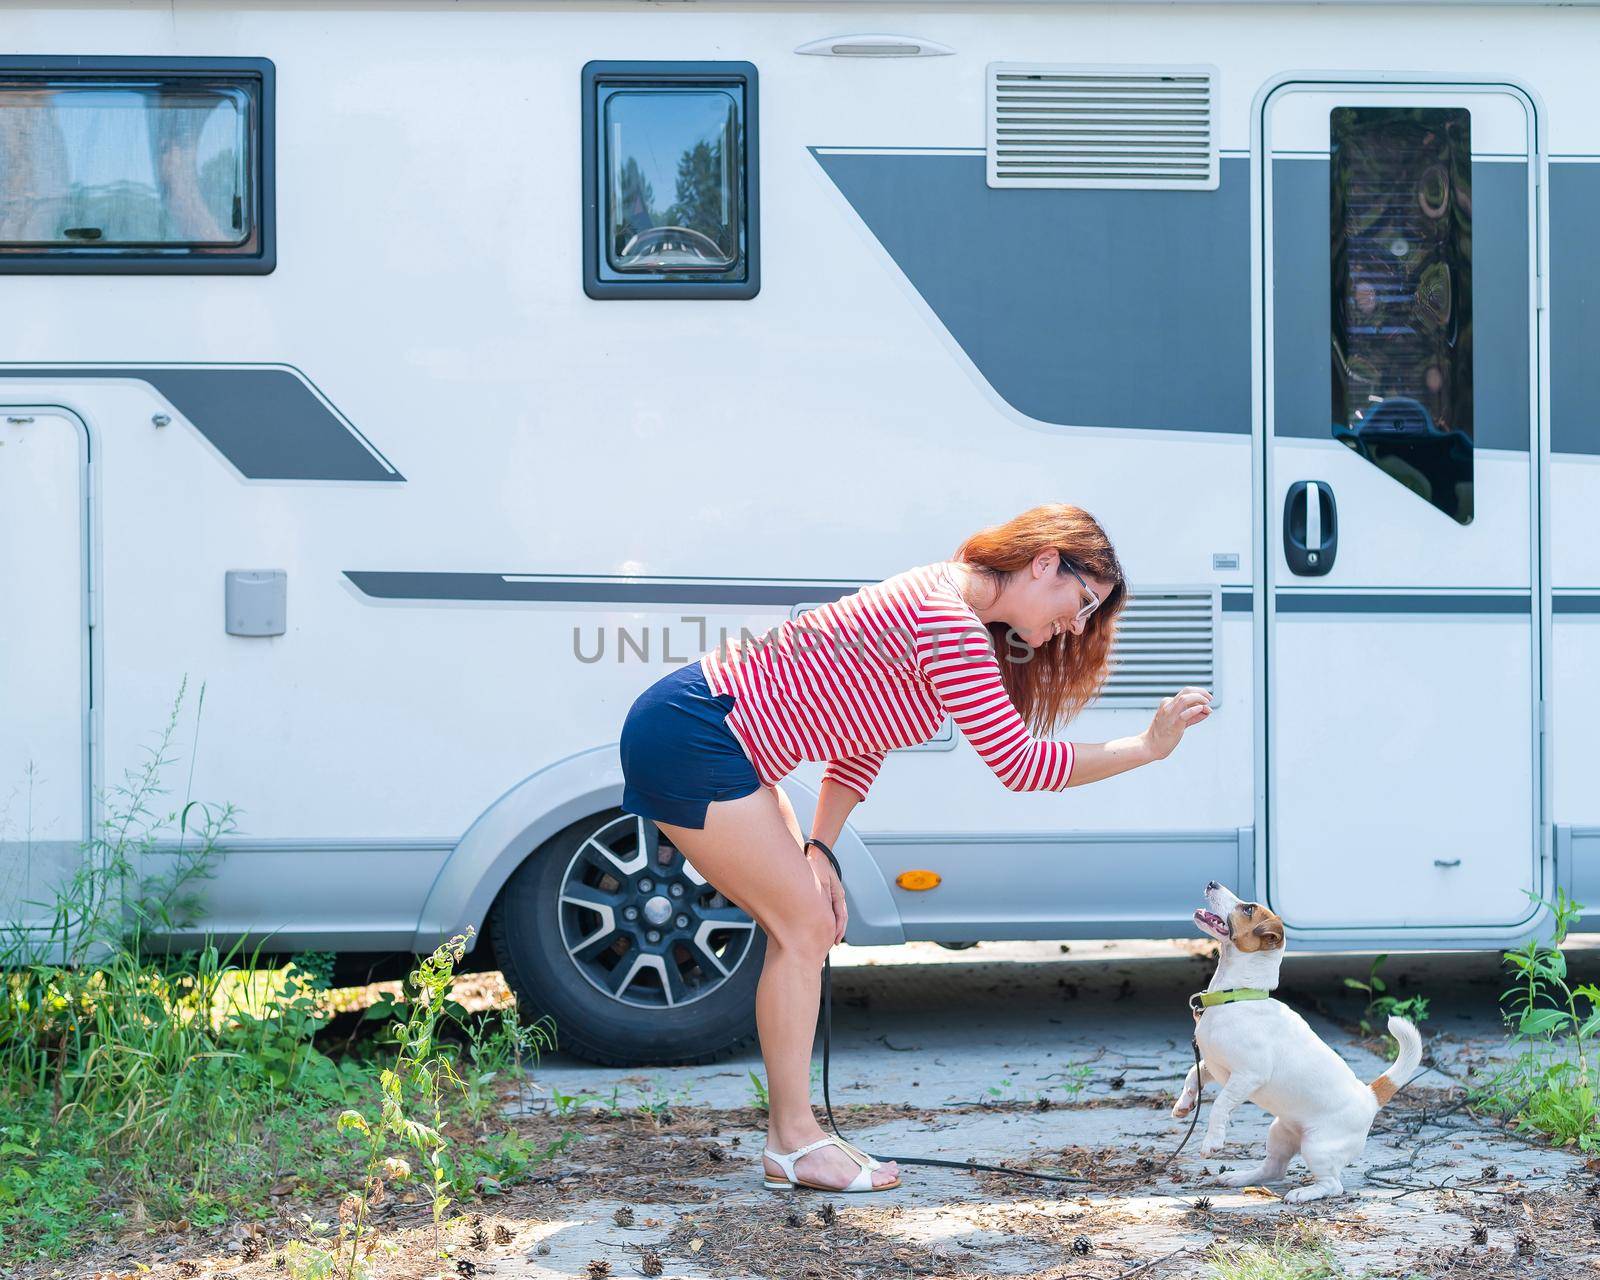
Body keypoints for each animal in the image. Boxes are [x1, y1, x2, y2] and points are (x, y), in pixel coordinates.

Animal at [1171, 883, 1420, 1203]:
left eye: (1248, 908)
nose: (1212, 883)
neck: (1237, 996)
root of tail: (1370, 1098)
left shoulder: (1247, 1075)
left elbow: (1220, 1104)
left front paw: (1212, 1141)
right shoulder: (1215, 1065)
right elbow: (1193, 1074)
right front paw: (1184, 1104)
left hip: (1317, 1147)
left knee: (1332, 1185)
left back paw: (1303, 1193)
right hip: (1279, 1132)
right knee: (1273, 1169)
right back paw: (1240, 1177)